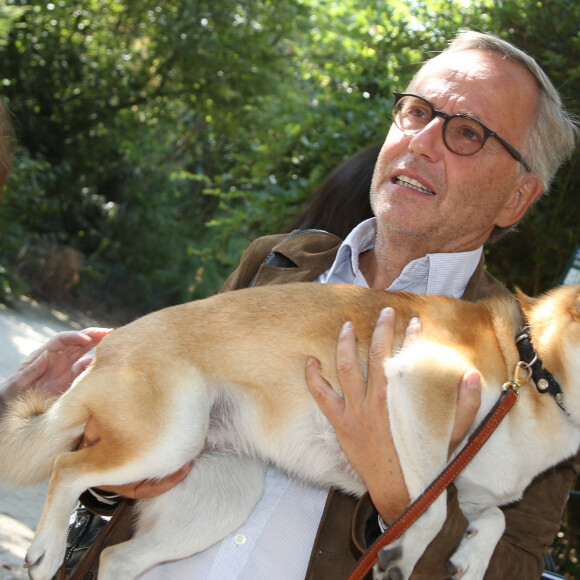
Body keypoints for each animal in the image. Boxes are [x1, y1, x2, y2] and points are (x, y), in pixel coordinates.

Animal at [1, 282, 580, 580]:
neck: (528, 365)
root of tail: (109, 347)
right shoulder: (423, 385)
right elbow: (432, 508)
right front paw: (403, 554)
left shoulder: (473, 482)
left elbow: (493, 520)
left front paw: (472, 557)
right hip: (169, 439)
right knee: (66, 466)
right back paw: (46, 550)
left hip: (220, 497)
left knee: (119, 557)